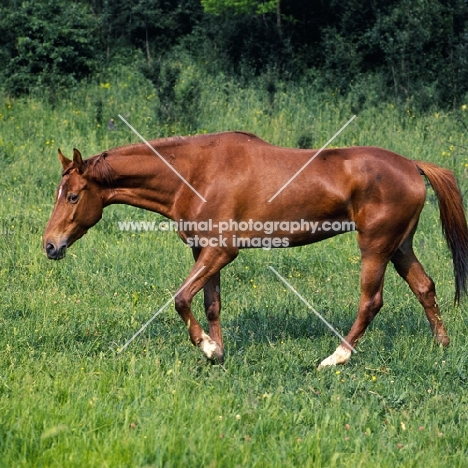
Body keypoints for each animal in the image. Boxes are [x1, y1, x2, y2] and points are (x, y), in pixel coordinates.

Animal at [42, 130, 466, 368]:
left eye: (74, 195)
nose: (50, 245)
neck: (195, 173)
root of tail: (412, 166)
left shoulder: (222, 251)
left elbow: (181, 299)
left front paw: (208, 349)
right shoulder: (203, 251)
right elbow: (210, 304)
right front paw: (218, 351)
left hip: (375, 246)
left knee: (371, 301)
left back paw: (336, 358)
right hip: (400, 246)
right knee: (424, 287)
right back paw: (441, 346)